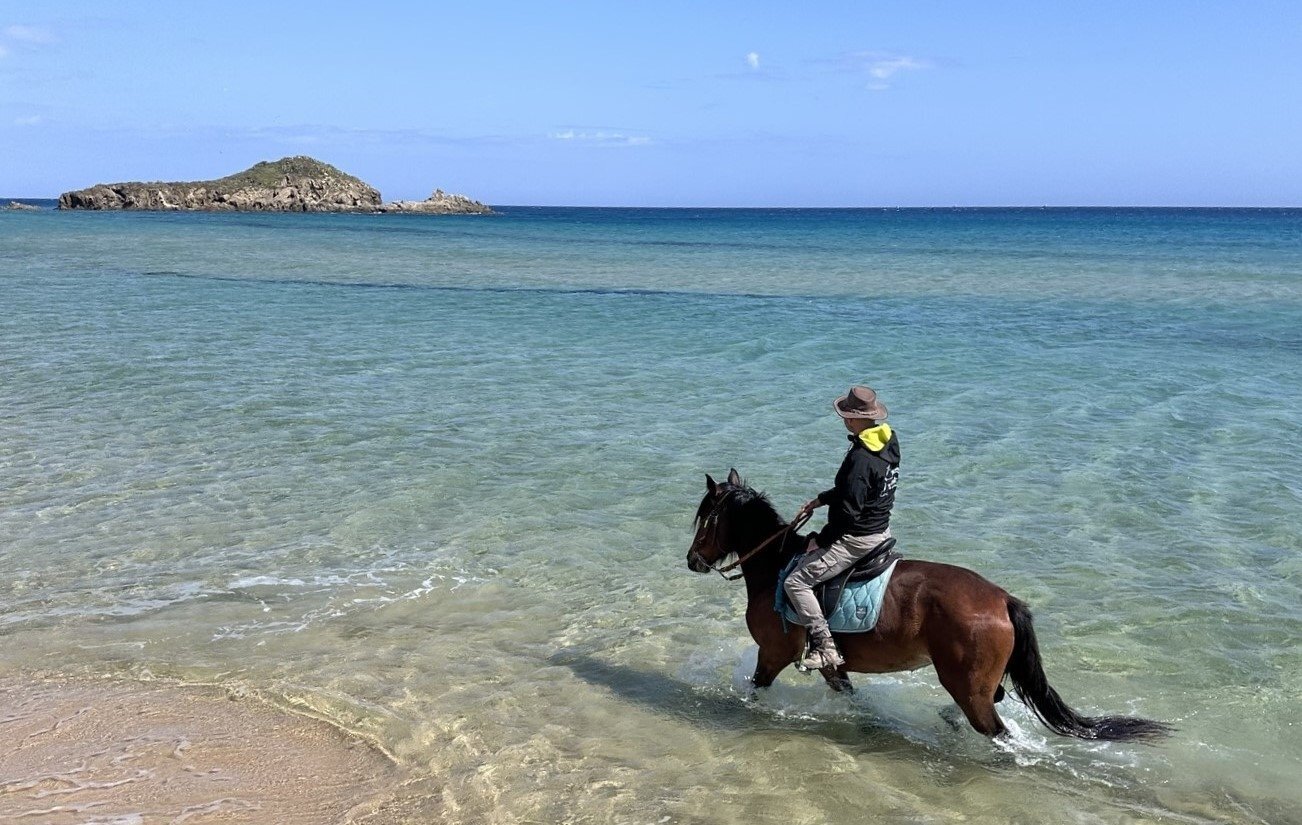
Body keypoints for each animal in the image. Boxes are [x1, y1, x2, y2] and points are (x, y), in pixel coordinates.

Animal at [686, 469, 1172, 742]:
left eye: (705, 518)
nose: (692, 560)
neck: (776, 566)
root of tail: (1003, 599)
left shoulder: (773, 653)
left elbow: (754, 688)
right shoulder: (831, 667)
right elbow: (849, 695)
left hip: (969, 688)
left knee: (997, 732)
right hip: (972, 684)